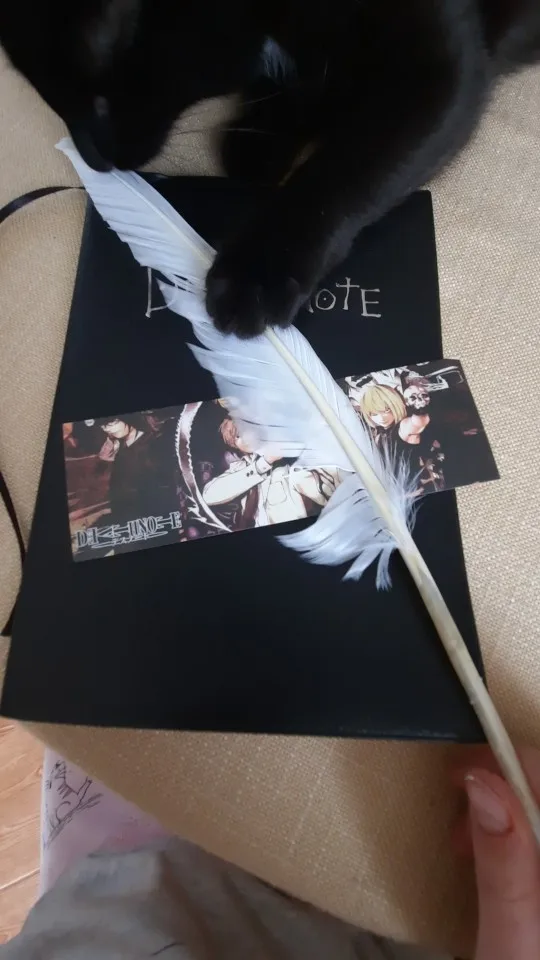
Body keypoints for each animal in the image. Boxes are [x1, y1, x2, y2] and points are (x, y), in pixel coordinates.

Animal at [1, 0, 539, 338]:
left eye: (100, 100)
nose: (94, 160)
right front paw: (262, 136)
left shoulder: (438, 71)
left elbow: (346, 168)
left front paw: (255, 273)